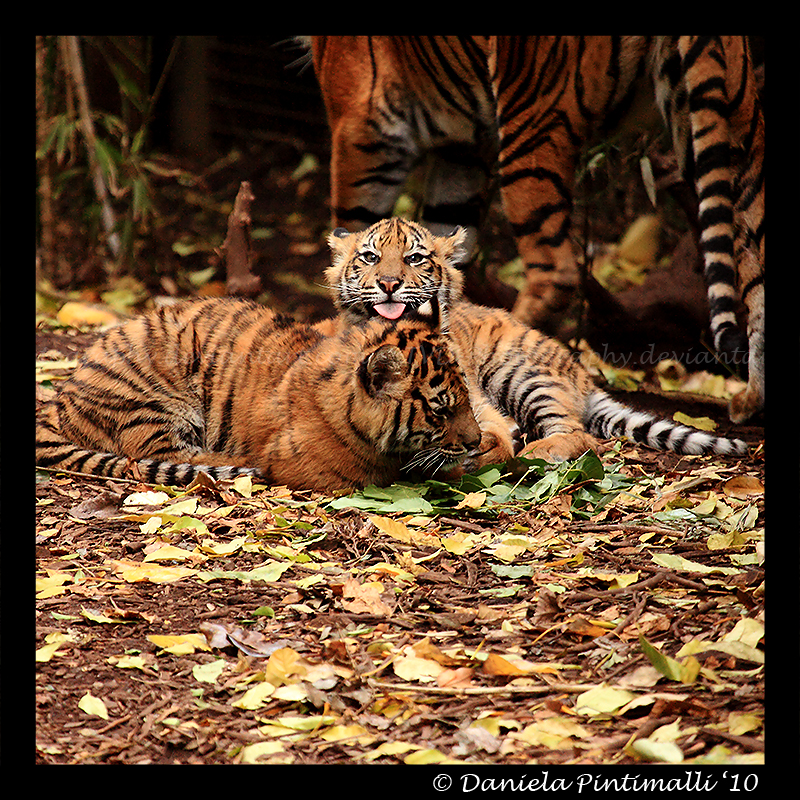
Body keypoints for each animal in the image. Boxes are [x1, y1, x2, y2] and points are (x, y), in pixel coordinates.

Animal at [310, 36, 764, 424]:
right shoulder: (460, 148)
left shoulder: (360, 123)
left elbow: (354, 230)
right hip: (734, 122)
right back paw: (750, 401)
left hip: (530, 122)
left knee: (555, 272)